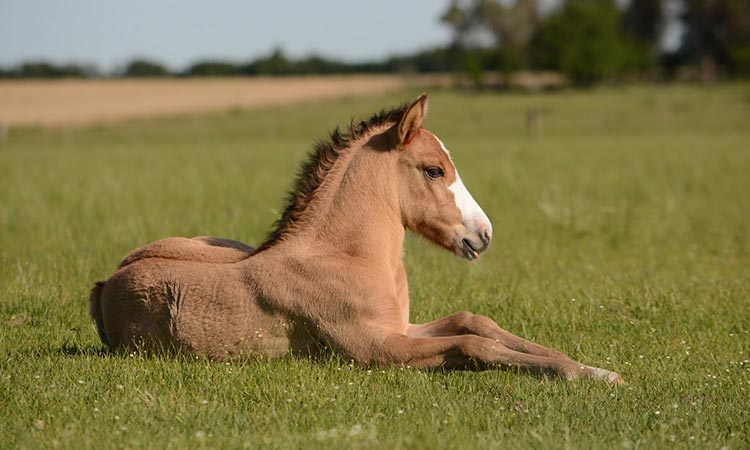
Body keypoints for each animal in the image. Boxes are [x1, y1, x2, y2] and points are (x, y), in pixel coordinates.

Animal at [91, 94, 624, 384]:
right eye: (434, 170)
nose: (484, 234)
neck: (347, 257)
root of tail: (105, 282)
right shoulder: (376, 349)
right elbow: (475, 345)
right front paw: (584, 374)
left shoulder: (401, 328)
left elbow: (476, 322)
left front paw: (590, 368)